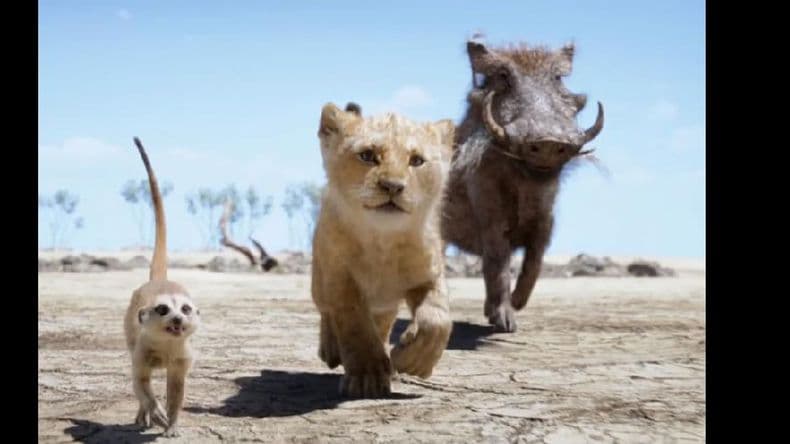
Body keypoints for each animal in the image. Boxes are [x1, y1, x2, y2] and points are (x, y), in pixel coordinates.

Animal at [311, 102, 455, 398]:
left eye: (416, 160)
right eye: (367, 156)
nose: (393, 186)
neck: (383, 241)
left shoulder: (428, 275)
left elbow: (437, 318)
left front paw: (412, 360)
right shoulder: (341, 280)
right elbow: (355, 326)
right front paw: (368, 376)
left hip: (386, 305)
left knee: (382, 324)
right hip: (318, 281)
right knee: (327, 312)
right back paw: (331, 350)